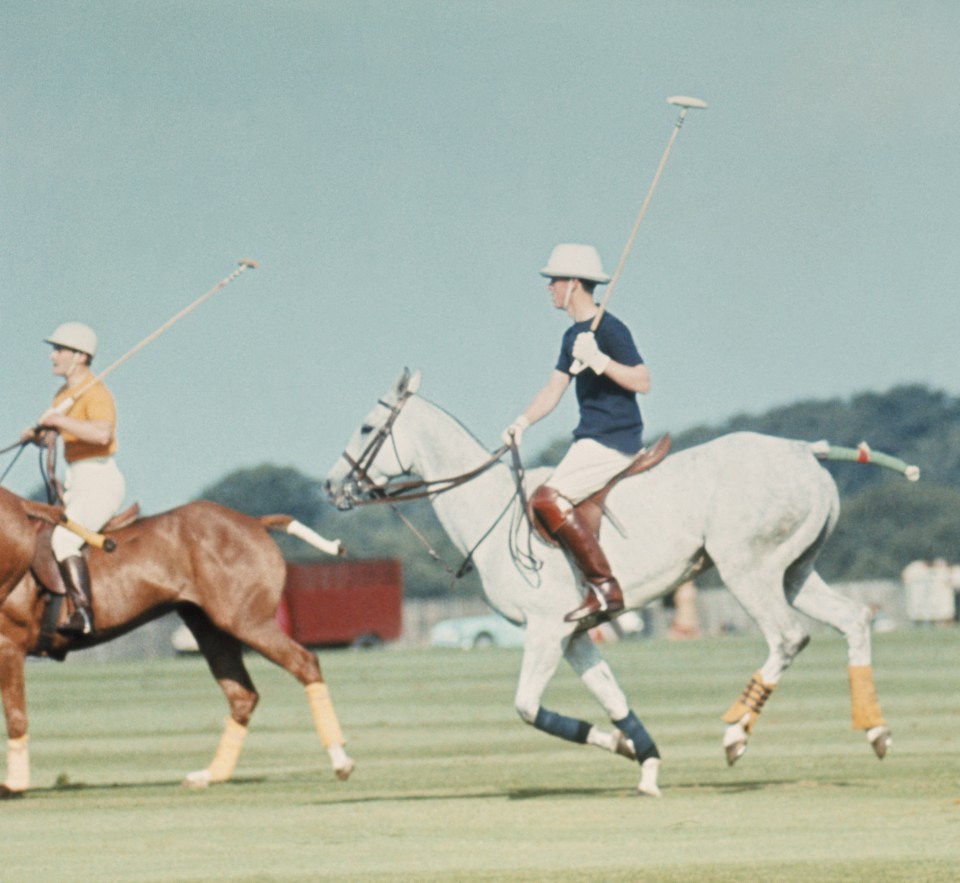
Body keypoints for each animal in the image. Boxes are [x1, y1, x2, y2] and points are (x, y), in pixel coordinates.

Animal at [0, 486, 352, 796]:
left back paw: (340, 761)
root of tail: (254, 522)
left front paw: (14, 786)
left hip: (247, 621)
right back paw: (210, 775)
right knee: (242, 694)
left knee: (304, 663)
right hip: (210, 628)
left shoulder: (9, 646)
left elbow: (16, 716)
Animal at [326, 370, 904, 796]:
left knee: (788, 636)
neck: (490, 506)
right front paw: (642, 760)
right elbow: (614, 698)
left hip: (748, 566)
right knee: (854, 618)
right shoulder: (576, 634)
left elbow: (528, 708)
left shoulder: (546, 630)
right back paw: (876, 732)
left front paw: (636, 753)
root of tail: (803, 450)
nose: (332, 485)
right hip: (796, 569)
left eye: (366, 427)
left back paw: (736, 733)